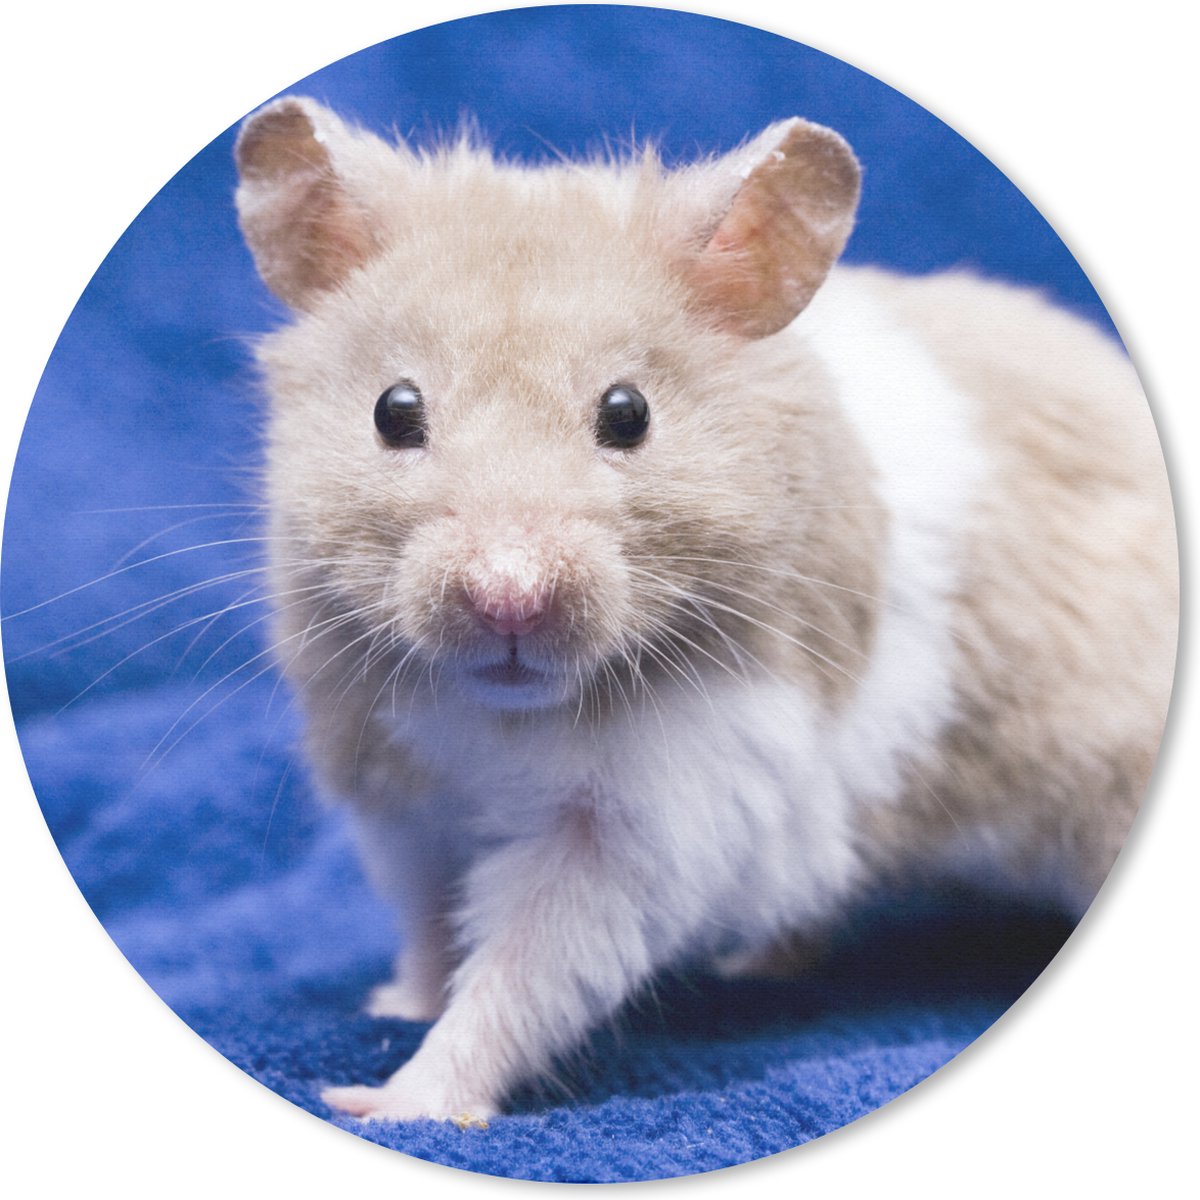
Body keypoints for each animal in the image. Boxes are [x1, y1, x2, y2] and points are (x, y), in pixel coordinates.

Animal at [233, 96, 1177, 1122]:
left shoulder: (647, 820)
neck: (500, 713)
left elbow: (523, 973)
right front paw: (395, 1006)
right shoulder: (391, 784)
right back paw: (758, 963)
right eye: (393, 410)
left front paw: (383, 1101)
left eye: (628, 413)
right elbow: (427, 922)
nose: (508, 598)